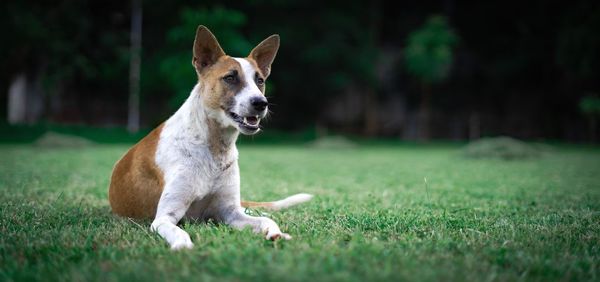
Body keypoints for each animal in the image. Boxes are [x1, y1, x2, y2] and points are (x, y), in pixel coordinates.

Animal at [109, 25, 314, 249]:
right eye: (230, 77)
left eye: (260, 80)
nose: (261, 103)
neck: (213, 146)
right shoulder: (163, 218)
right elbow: (179, 232)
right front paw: (184, 247)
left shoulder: (230, 213)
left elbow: (263, 221)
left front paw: (275, 232)